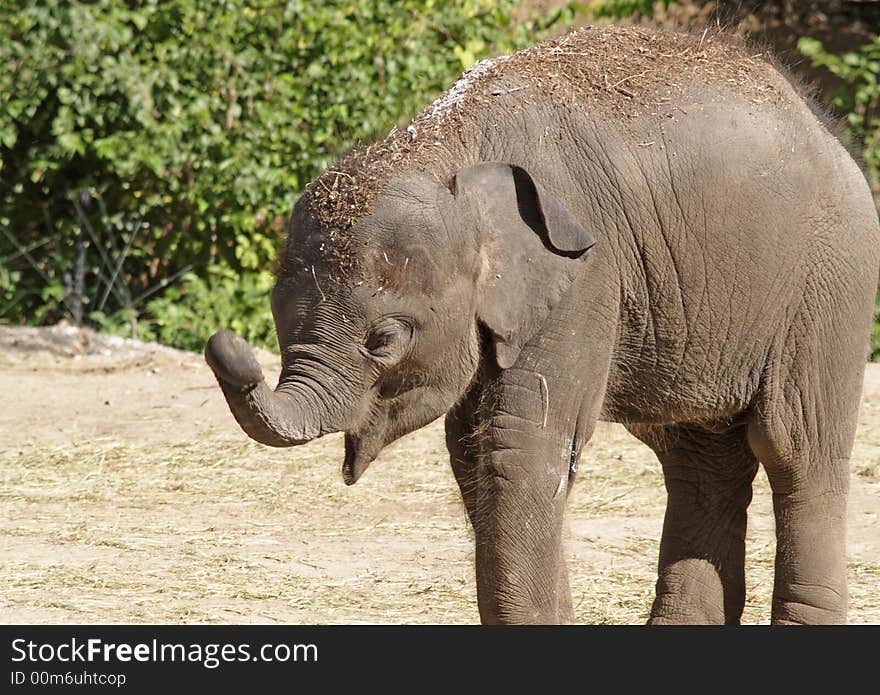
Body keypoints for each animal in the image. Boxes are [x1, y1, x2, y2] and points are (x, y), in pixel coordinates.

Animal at [205, 27, 880, 624]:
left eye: (385, 340)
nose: (223, 345)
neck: (449, 150)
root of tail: (824, 125)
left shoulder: (584, 275)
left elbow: (523, 449)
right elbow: (473, 450)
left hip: (829, 281)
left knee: (795, 446)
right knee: (698, 457)